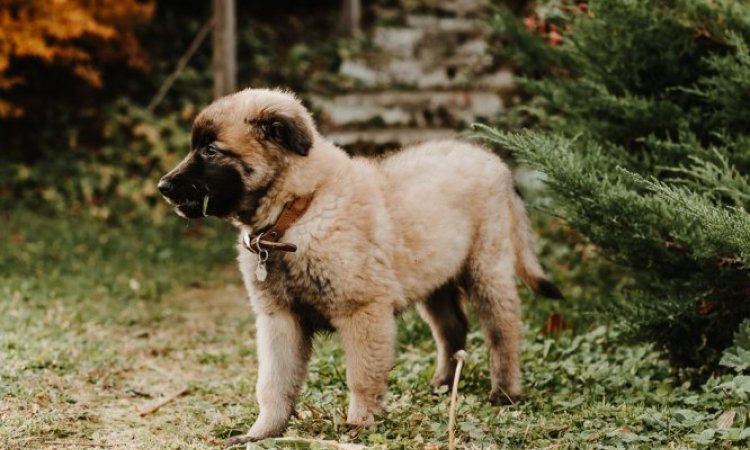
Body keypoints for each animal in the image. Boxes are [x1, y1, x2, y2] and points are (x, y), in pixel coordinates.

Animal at [159, 87, 564, 442]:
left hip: (486, 268)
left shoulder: (363, 312)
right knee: (453, 328)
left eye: (211, 150)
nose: (163, 186)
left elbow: (362, 376)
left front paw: (359, 424)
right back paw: (443, 384)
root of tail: (493, 160)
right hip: (434, 277)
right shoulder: (279, 319)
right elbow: (273, 383)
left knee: (503, 331)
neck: (296, 211)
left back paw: (505, 392)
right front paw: (263, 432)